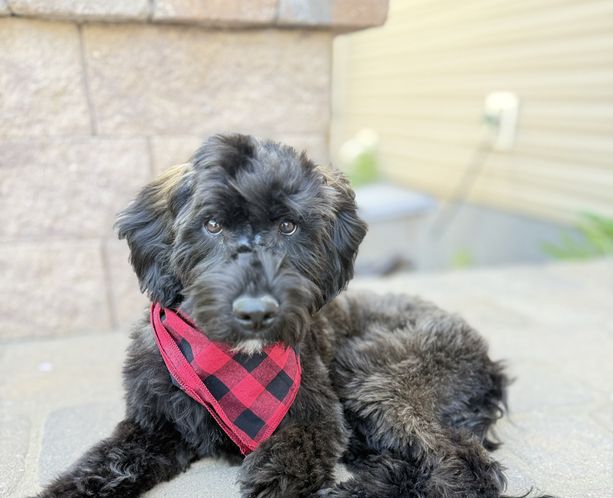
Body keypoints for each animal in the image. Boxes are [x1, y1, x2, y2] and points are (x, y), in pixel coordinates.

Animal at [38, 134, 510, 498]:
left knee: (463, 464)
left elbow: (283, 475)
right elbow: (108, 461)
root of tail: (489, 361)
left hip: (375, 375)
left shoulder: (312, 422)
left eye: (288, 226)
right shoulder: (153, 424)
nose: (256, 312)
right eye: (212, 225)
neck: (233, 363)